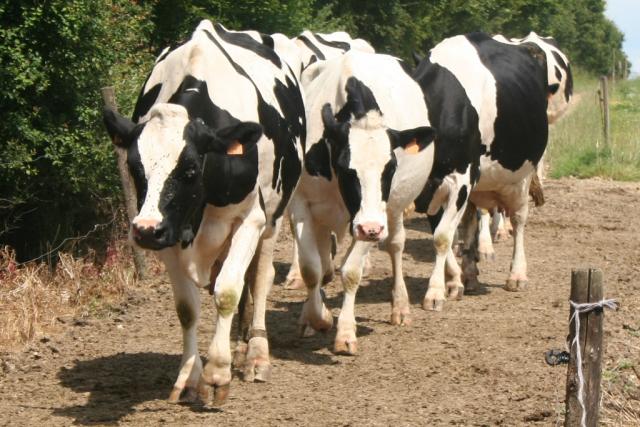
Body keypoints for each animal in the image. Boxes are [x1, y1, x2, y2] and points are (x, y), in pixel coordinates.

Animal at [102, 20, 305, 405]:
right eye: (134, 168)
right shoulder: (168, 230)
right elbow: (187, 308)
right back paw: (239, 345)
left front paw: (217, 374)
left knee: (259, 276)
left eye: (191, 169)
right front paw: (190, 376)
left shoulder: (250, 219)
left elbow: (228, 290)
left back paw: (255, 352)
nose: (144, 230)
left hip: (273, 216)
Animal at [289, 50, 437, 354]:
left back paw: (400, 306)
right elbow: (311, 269)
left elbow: (351, 272)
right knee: (323, 259)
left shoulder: (374, 218)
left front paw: (345, 331)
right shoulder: (302, 205)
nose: (370, 229)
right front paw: (317, 317)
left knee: (395, 245)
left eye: (390, 168)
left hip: (393, 210)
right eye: (346, 168)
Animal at [412, 32, 549, 307]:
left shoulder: (460, 181)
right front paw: (454, 281)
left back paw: (517, 275)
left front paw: (435, 291)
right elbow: (442, 234)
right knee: (470, 223)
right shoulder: (432, 189)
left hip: (521, 177)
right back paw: (470, 275)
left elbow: (442, 237)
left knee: (519, 221)